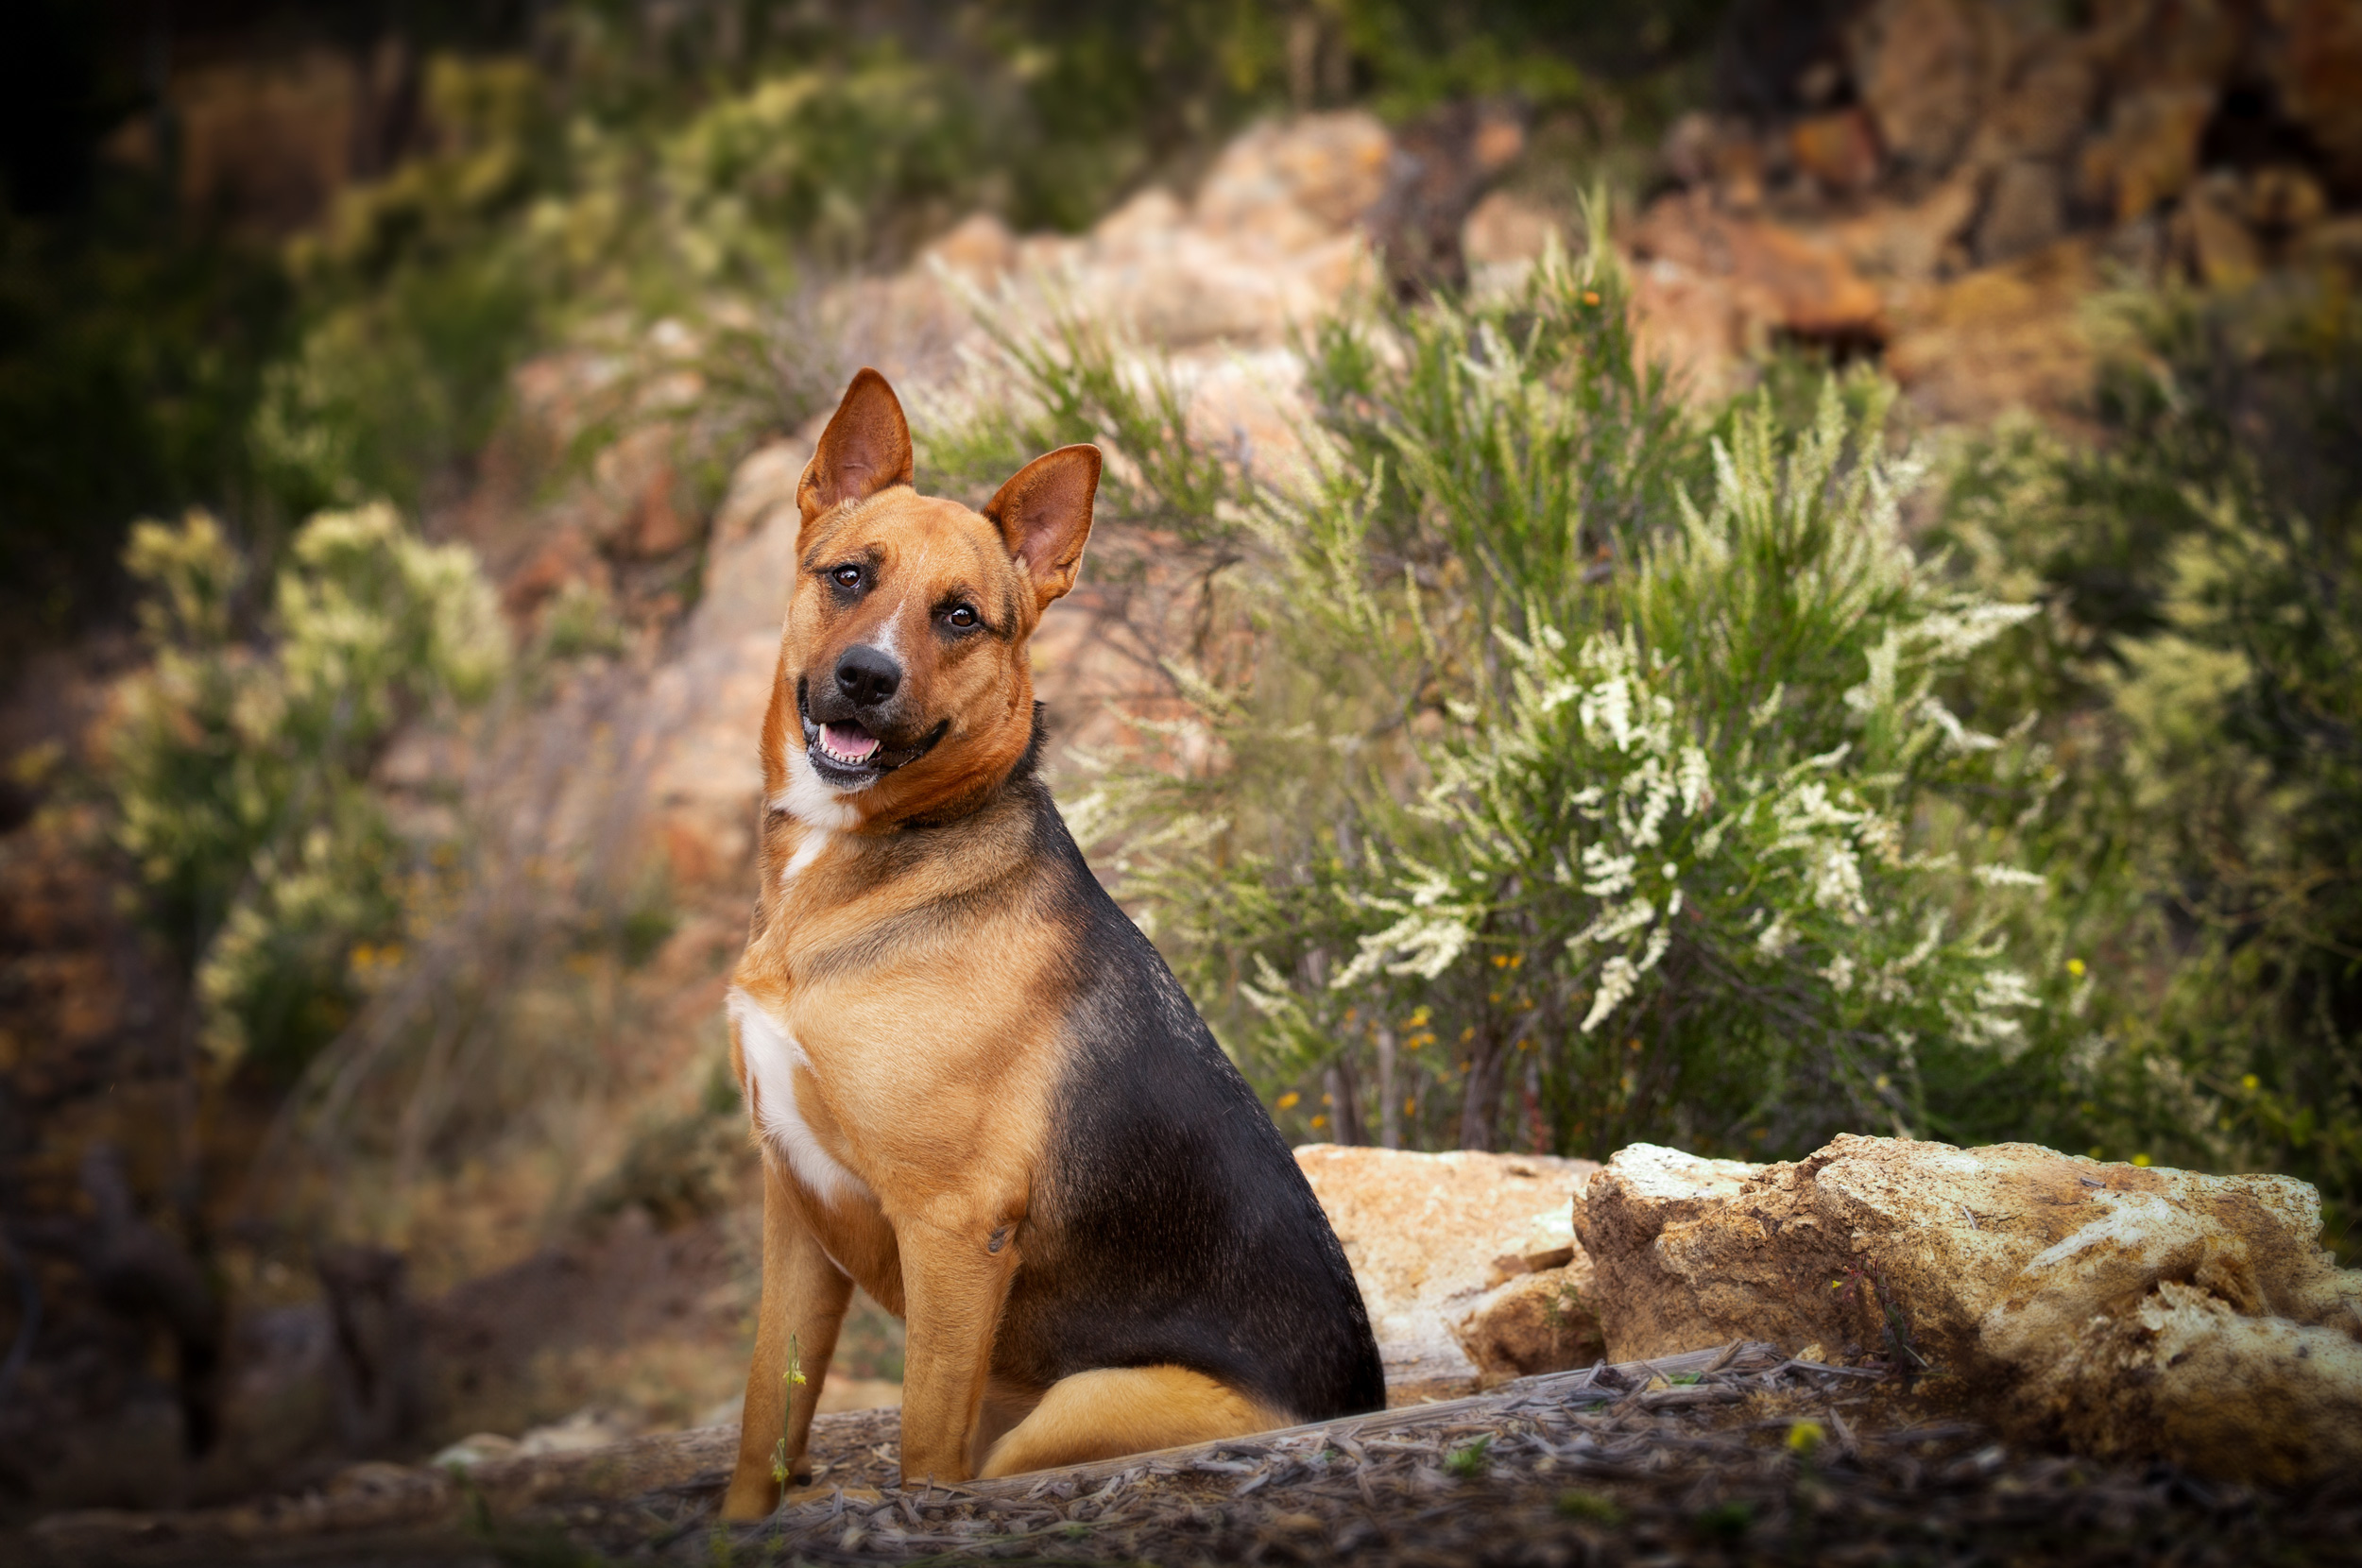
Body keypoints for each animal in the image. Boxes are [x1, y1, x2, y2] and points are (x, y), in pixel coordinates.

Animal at [718, 370, 1379, 1521]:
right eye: (848, 575)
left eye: (961, 617)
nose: (865, 678)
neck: (867, 859)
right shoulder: (796, 1207)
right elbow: (765, 1417)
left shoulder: (953, 1229)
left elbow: (921, 1446)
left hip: (1064, 1410)